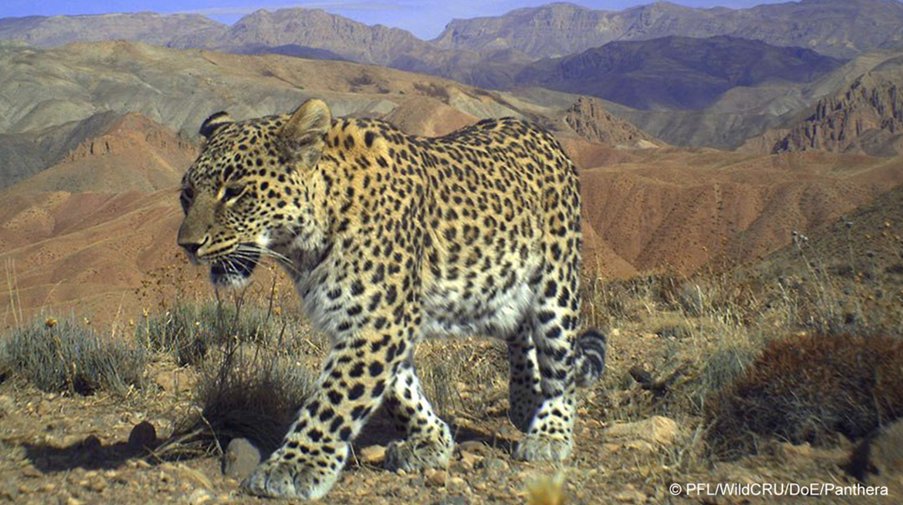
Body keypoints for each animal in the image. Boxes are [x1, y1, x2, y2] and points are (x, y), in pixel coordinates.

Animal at [177, 98, 607, 499]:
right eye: (187, 194)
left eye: (234, 192)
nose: (188, 245)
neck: (306, 244)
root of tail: (538, 132)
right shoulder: (366, 320)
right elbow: (401, 390)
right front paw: (430, 441)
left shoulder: (379, 320)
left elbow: (334, 399)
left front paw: (293, 466)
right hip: (497, 293)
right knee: (520, 331)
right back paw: (524, 402)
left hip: (555, 284)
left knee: (559, 362)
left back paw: (549, 432)